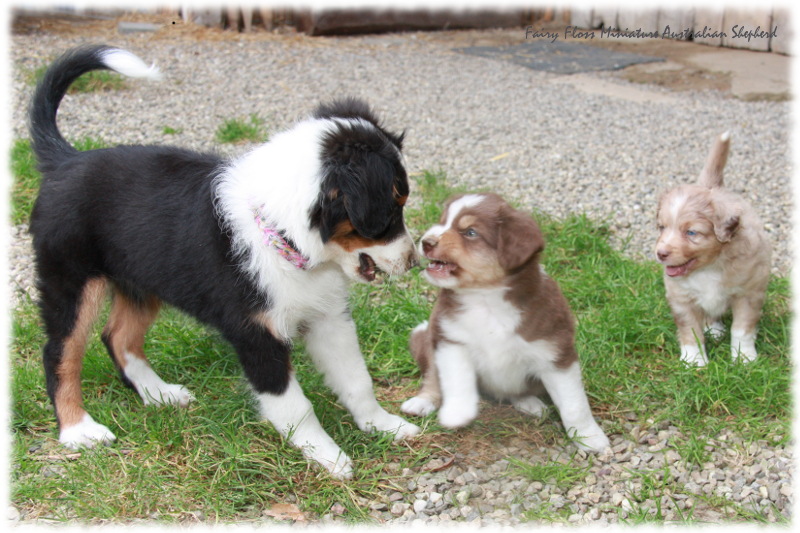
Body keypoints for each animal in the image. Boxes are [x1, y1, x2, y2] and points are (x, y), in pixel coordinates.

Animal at [28, 45, 422, 478]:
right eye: (392, 209)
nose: (414, 261)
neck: (281, 236)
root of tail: (65, 161)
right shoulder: (256, 334)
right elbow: (294, 406)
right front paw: (328, 457)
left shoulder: (328, 317)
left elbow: (357, 379)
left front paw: (382, 425)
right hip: (70, 281)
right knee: (59, 353)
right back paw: (78, 430)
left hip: (141, 280)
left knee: (117, 337)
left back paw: (159, 394)